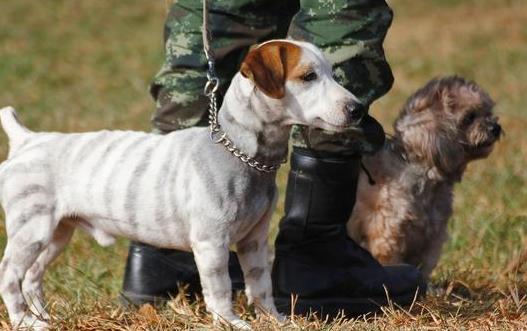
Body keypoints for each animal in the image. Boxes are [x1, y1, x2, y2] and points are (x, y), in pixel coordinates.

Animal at [0, 40, 366, 330]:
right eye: (308, 77)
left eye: (331, 74)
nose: (358, 109)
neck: (239, 150)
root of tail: (27, 140)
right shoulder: (211, 243)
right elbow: (219, 288)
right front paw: (230, 322)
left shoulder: (255, 240)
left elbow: (260, 284)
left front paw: (274, 320)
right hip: (31, 230)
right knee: (10, 276)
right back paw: (24, 321)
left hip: (57, 234)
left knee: (32, 277)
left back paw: (43, 319)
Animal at [348, 76, 502, 278]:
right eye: (470, 117)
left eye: (489, 112)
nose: (496, 127)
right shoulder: (388, 236)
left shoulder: (431, 239)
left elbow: (422, 268)